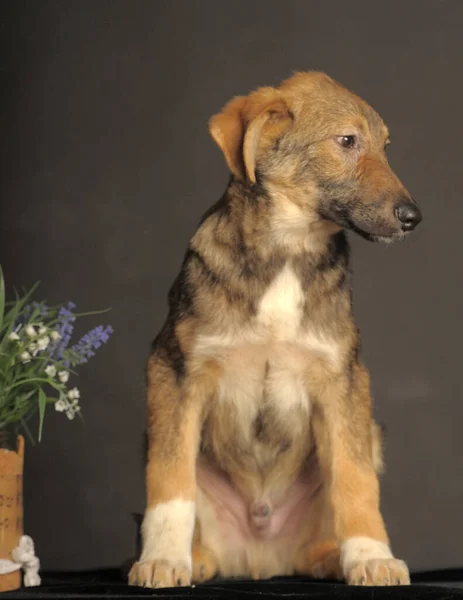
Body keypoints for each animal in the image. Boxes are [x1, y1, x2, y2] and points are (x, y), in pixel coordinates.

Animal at [129, 71, 422, 592]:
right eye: (347, 141)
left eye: (385, 146)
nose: (413, 217)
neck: (288, 248)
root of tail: (262, 562)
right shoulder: (174, 368)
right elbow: (169, 479)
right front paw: (163, 559)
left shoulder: (344, 379)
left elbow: (355, 480)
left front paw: (372, 557)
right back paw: (196, 559)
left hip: (365, 438)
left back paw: (333, 559)